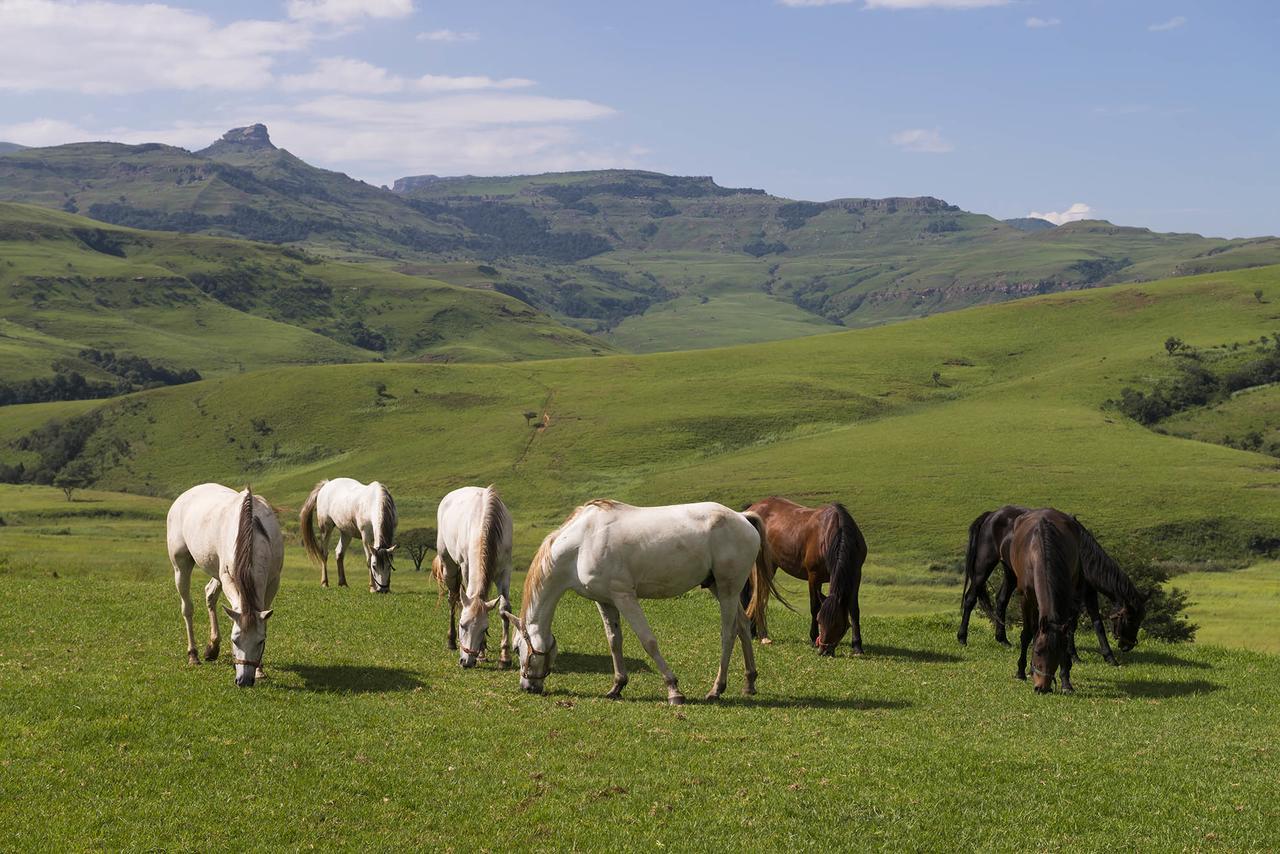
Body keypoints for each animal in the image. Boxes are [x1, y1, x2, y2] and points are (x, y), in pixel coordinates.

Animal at [166, 483, 284, 691]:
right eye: (234, 639)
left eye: (260, 641)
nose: (244, 680)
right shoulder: (228, 578)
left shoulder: (273, 581)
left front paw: (260, 670)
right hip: (181, 566)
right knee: (187, 608)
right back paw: (193, 655)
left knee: (210, 594)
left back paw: (212, 648)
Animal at [435, 483, 514, 670]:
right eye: (462, 625)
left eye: (484, 629)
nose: (466, 662)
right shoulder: (466, 567)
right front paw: (482, 654)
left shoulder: (504, 570)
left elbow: (504, 609)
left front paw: (504, 657)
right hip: (448, 565)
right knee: (453, 598)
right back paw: (451, 641)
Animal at [501, 496, 778, 706]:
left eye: (516, 649)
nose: (527, 686)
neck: (582, 543)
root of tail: (743, 517)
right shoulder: (605, 601)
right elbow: (614, 641)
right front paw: (617, 686)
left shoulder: (624, 596)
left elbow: (648, 641)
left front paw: (674, 690)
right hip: (718, 588)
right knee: (743, 625)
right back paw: (749, 682)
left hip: (728, 589)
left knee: (728, 634)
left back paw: (716, 689)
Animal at [737, 496, 865, 660]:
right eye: (819, 620)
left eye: (838, 624)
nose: (824, 651)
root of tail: (750, 509)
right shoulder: (814, 576)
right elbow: (814, 606)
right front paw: (812, 638)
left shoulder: (855, 575)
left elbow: (854, 610)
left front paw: (857, 646)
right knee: (754, 595)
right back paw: (753, 632)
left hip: (771, 565)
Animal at [1003, 507, 1085, 696]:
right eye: (1038, 652)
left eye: (1058, 653)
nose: (1042, 687)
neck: (1039, 551)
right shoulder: (1026, 598)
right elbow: (1027, 633)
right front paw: (1020, 671)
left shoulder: (1065, 598)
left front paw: (1066, 681)